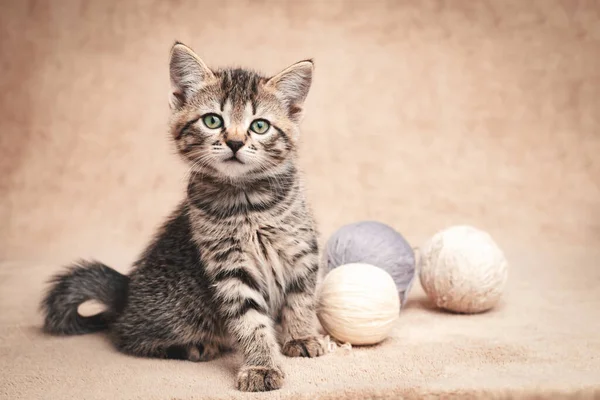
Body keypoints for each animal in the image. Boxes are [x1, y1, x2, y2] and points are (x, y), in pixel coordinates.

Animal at [41, 42, 326, 392]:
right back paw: (193, 346)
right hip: (176, 312)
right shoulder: (229, 266)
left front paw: (299, 336)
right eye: (213, 121)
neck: (245, 199)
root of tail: (126, 294)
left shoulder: (301, 248)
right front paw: (260, 365)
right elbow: (249, 320)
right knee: (124, 335)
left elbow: (301, 298)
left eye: (259, 126)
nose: (235, 142)